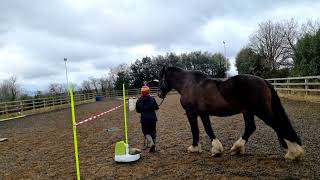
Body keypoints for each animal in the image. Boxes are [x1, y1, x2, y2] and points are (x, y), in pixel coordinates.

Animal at [158, 65, 304, 160]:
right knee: (251, 127)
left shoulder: (191, 112)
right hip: (248, 111)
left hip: (261, 111)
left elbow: (195, 130)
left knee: (278, 125)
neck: (189, 84)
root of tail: (264, 81)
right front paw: (216, 149)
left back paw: (294, 153)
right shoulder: (203, 113)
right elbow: (208, 129)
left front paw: (194, 148)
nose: (159, 93)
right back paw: (237, 148)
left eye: (160, 78)